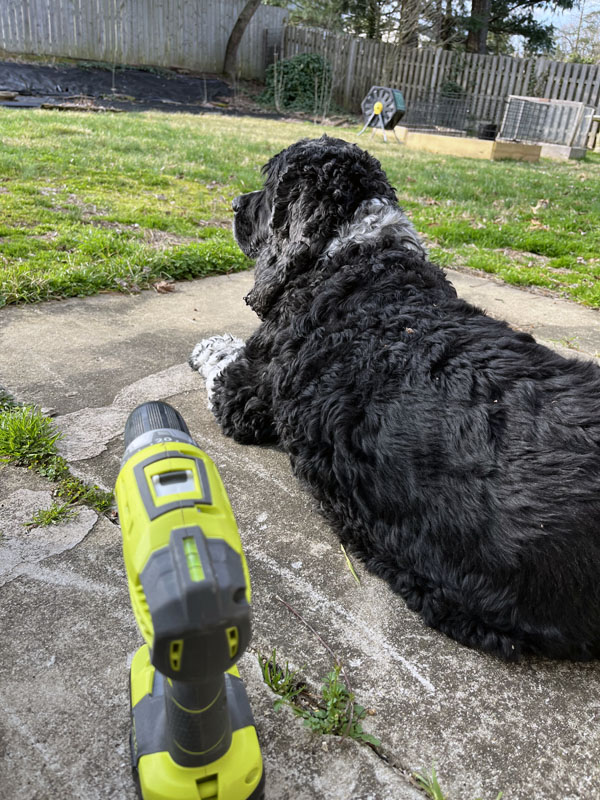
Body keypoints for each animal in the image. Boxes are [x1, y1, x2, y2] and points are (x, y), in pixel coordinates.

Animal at [191, 136, 600, 664]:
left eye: (270, 187)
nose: (235, 204)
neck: (354, 251)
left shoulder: (244, 393)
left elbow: (221, 356)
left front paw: (205, 346)